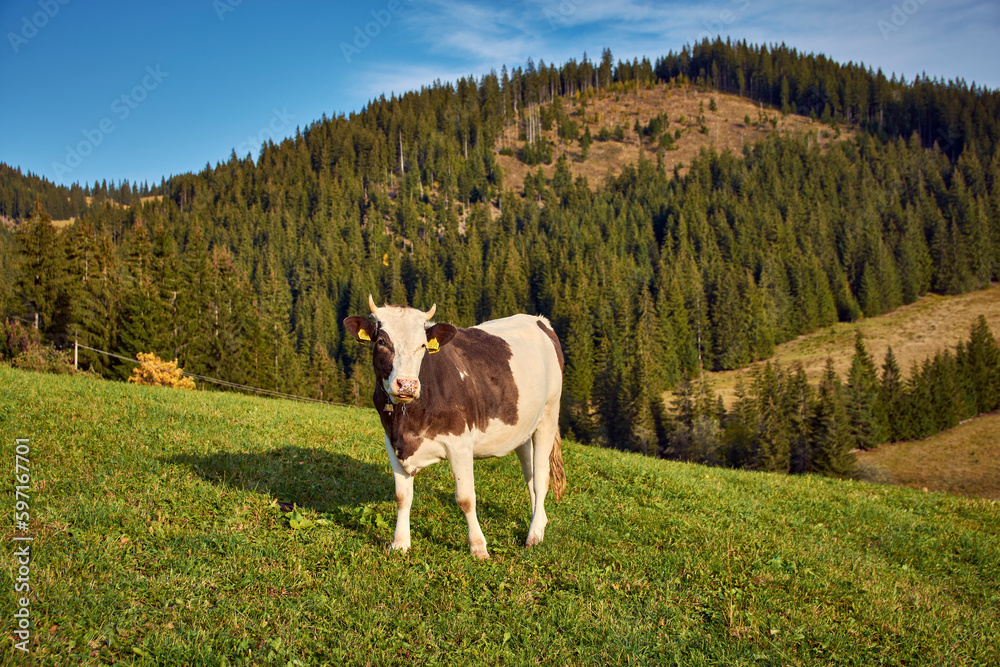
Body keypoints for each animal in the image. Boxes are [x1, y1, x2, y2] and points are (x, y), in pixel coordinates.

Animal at [342, 294, 564, 560]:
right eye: (382, 342)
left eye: (422, 346)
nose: (407, 384)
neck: (407, 421)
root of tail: (539, 320)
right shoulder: (392, 441)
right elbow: (402, 497)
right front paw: (400, 543)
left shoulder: (460, 443)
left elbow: (466, 498)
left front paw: (478, 547)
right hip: (523, 427)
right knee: (530, 474)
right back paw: (539, 520)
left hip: (549, 413)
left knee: (541, 475)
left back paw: (534, 534)